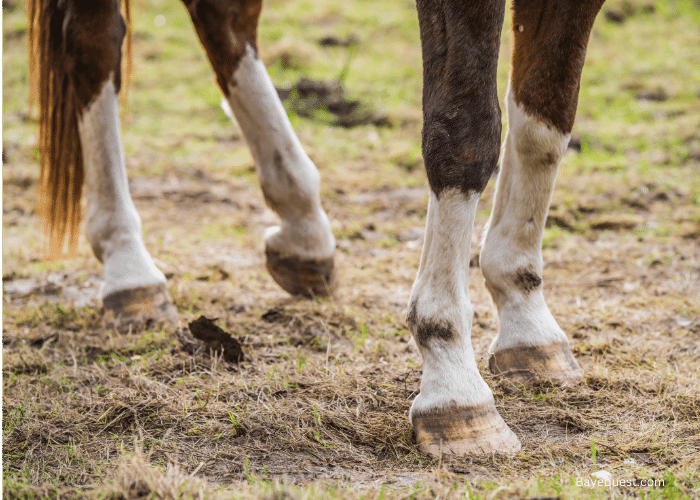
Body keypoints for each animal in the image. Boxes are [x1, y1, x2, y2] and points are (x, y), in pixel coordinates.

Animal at [27, 0, 605, 457]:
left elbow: (545, 118)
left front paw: (526, 318)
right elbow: (466, 129)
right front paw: (454, 382)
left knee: (221, 15)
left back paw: (303, 229)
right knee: (93, 36)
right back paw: (129, 267)